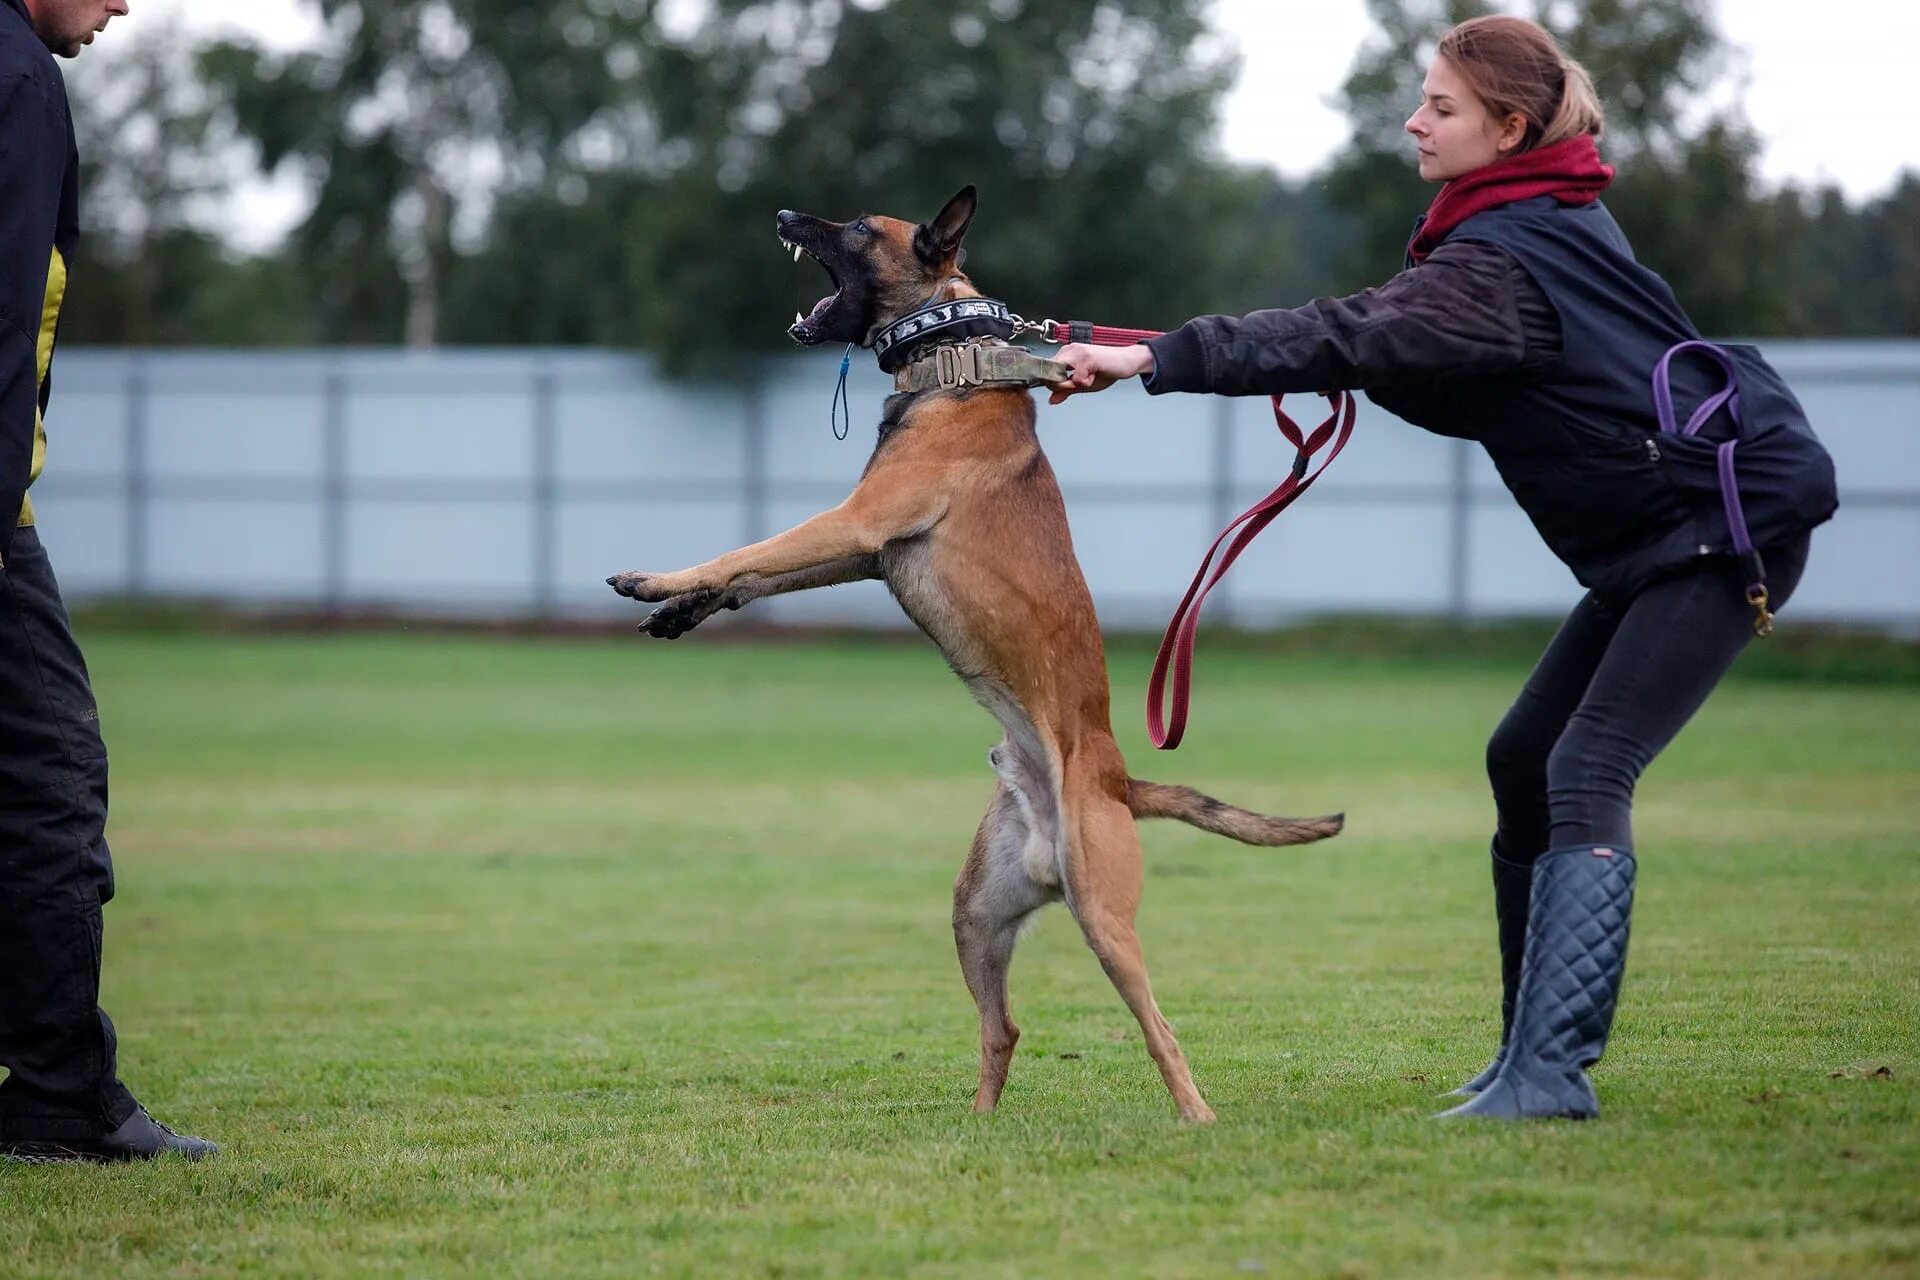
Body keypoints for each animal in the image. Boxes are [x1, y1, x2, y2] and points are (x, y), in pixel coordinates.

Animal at [610, 188, 1336, 1120]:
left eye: (857, 228)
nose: (783, 213)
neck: (950, 354)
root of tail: (1115, 782)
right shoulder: (865, 549)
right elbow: (756, 576)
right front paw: (681, 609)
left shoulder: (859, 524)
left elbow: (746, 550)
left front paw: (654, 580)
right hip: (976, 914)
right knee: (1005, 1029)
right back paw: (980, 1125)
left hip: (1103, 915)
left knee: (1160, 1029)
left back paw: (1196, 1117)